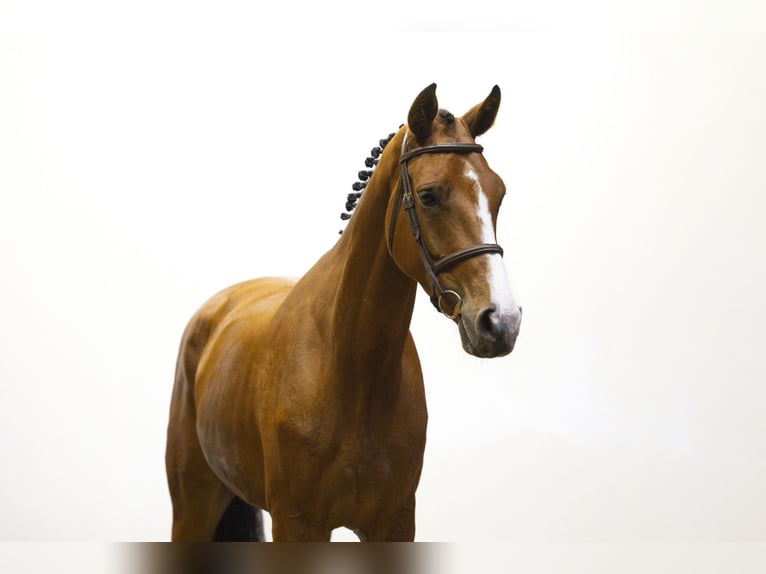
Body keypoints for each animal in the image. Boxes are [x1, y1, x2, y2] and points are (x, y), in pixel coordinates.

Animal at [165, 84, 522, 542]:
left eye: (499, 193)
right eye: (428, 195)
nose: (501, 321)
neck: (350, 370)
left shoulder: (395, 522)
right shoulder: (296, 524)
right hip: (192, 507)